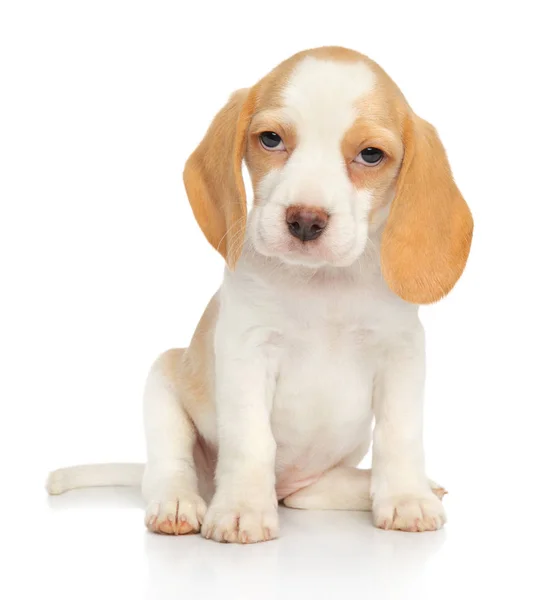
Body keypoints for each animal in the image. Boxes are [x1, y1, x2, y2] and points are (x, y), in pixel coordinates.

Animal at [49, 47, 472, 544]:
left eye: (371, 154)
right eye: (271, 139)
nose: (305, 220)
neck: (322, 285)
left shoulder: (401, 353)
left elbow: (399, 434)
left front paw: (406, 497)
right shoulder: (247, 350)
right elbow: (252, 440)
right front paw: (242, 509)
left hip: (316, 475)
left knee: (306, 494)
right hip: (162, 383)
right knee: (169, 469)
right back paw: (180, 502)